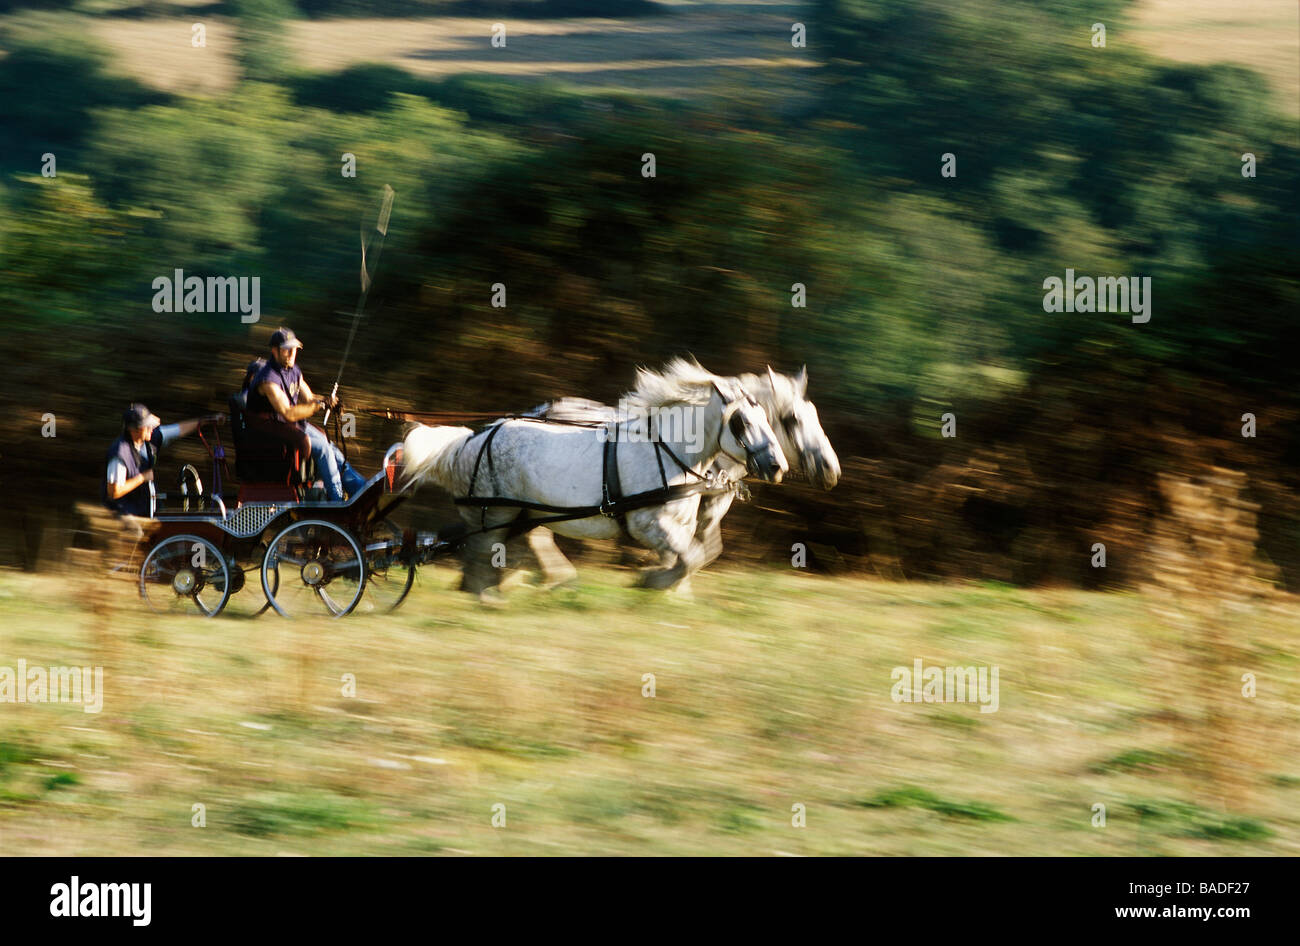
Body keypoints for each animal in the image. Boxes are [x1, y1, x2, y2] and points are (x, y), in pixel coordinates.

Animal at [401, 359, 788, 597]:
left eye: (769, 419)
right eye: (742, 422)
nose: (777, 466)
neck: (669, 451)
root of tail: (471, 440)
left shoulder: (679, 526)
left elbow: (693, 557)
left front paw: (661, 584)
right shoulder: (650, 526)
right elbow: (691, 558)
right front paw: (652, 581)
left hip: (524, 513)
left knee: (499, 547)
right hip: (497, 511)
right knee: (484, 549)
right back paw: (490, 593)